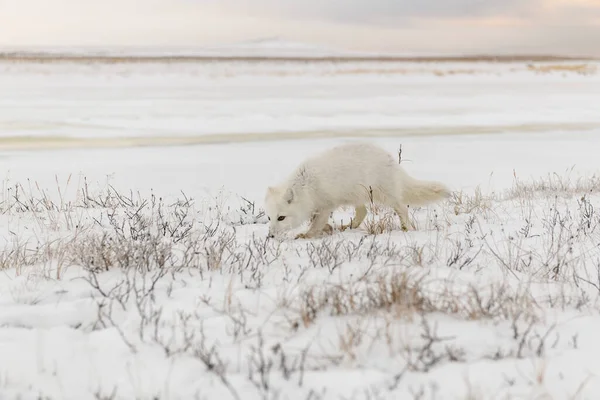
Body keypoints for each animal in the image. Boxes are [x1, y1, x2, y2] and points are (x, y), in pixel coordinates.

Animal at [264, 142, 450, 239]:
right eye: (269, 217)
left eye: (281, 217)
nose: (270, 236)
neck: (307, 187)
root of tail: (391, 160)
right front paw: (327, 229)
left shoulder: (326, 205)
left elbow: (316, 225)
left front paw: (307, 235)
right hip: (356, 195)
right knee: (363, 211)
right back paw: (348, 226)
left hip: (384, 194)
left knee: (402, 207)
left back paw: (406, 228)